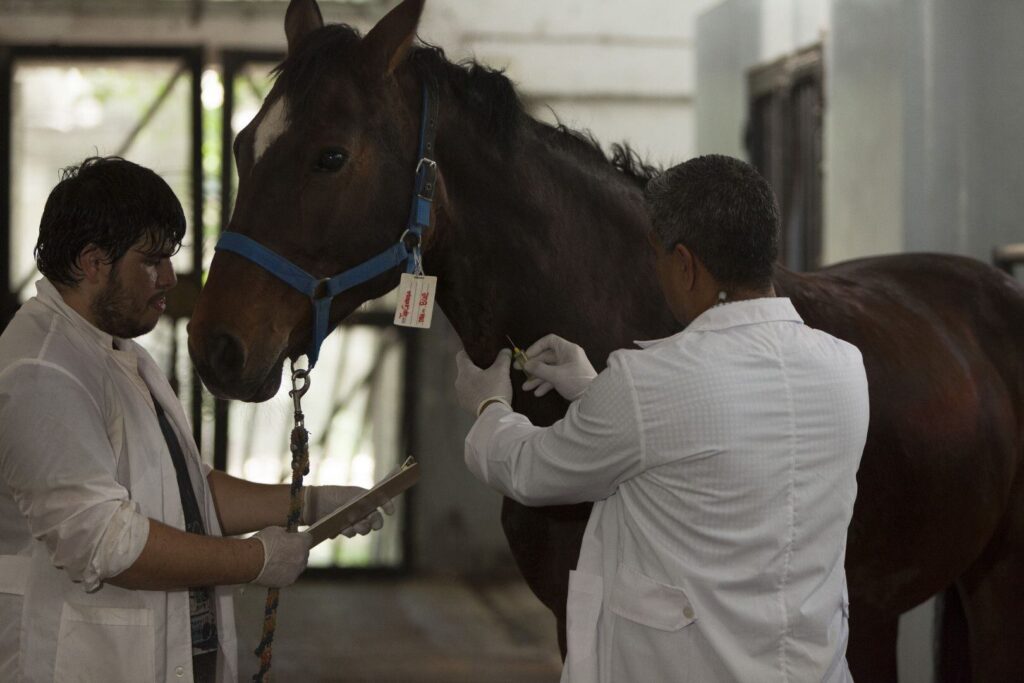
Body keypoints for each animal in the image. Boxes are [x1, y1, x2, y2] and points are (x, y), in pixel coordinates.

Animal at [188, 2, 1024, 679]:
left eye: (331, 155)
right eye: (242, 145)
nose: (214, 347)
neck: (629, 310)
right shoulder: (567, 614)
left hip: (993, 584)